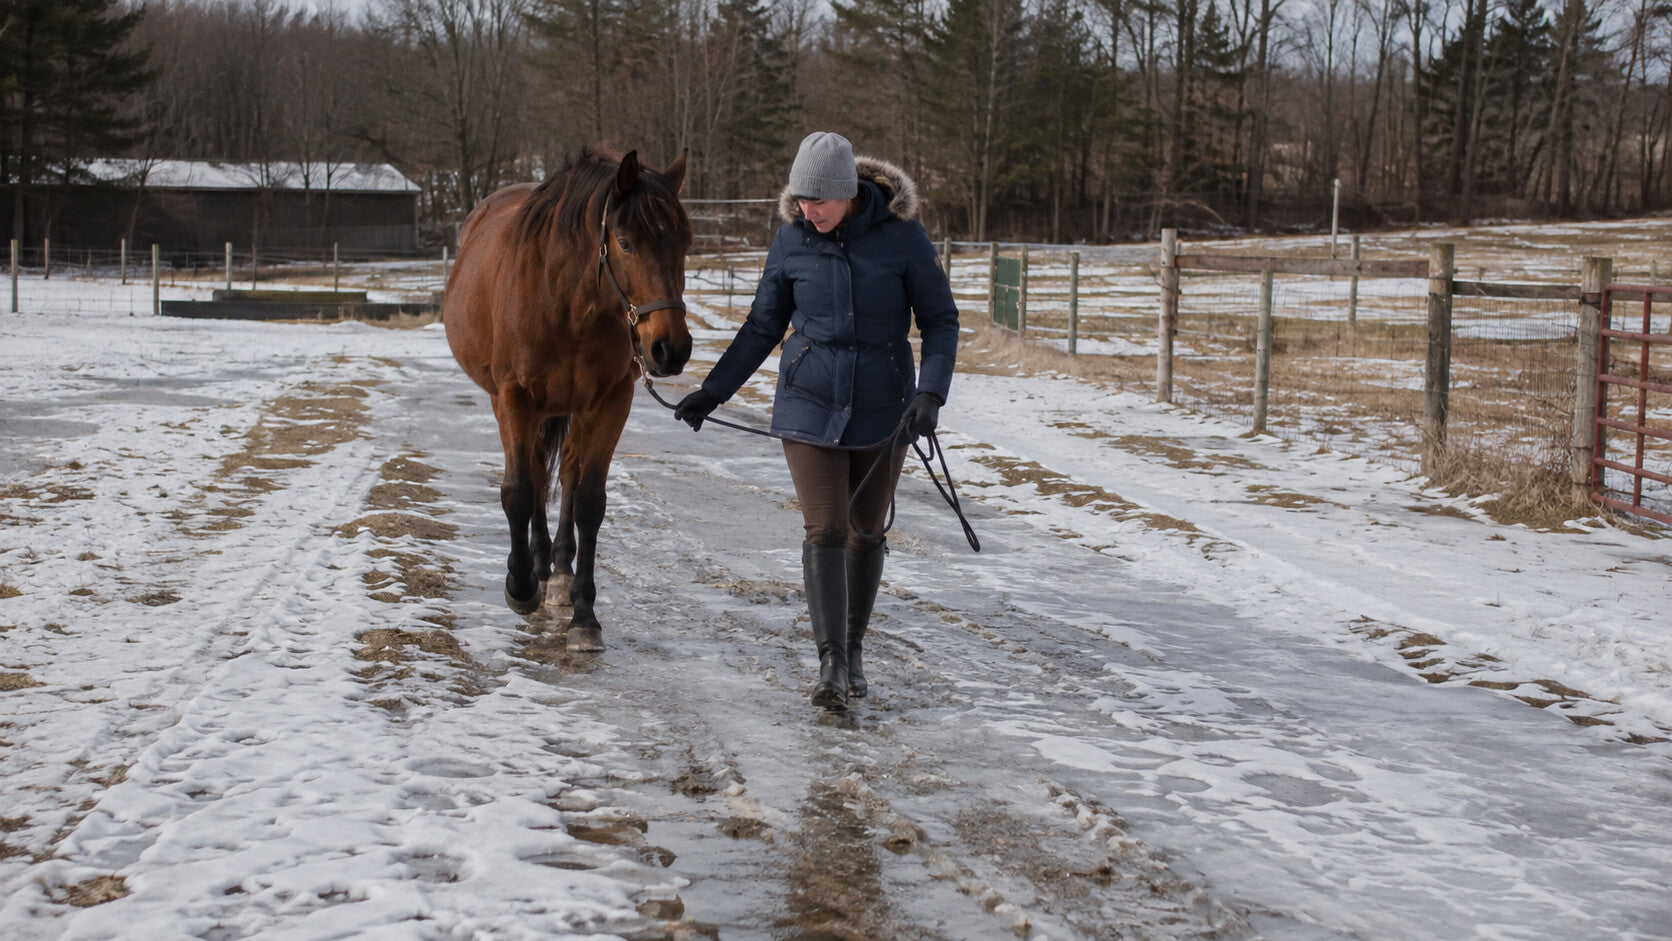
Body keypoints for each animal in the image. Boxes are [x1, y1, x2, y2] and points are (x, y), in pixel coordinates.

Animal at [443, 146, 693, 651]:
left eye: (684, 243)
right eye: (625, 242)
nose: (670, 349)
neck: (567, 303)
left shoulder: (610, 402)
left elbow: (589, 502)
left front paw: (584, 614)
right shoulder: (515, 398)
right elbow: (519, 491)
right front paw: (520, 585)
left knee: (569, 477)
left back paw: (558, 571)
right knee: (537, 475)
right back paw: (538, 570)